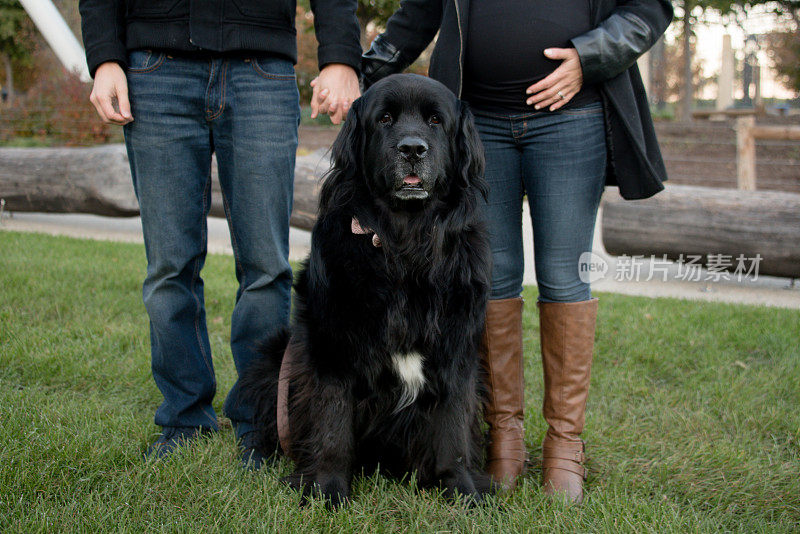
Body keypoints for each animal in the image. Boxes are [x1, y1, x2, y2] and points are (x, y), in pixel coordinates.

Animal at [244, 74, 490, 506]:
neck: (405, 245)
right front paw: (327, 490)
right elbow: (332, 419)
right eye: (386, 119)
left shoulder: (458, 348)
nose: (412, 149)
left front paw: (461, 489)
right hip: (274, 356)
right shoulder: (333, 344)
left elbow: (454, 424)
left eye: (435, 121)